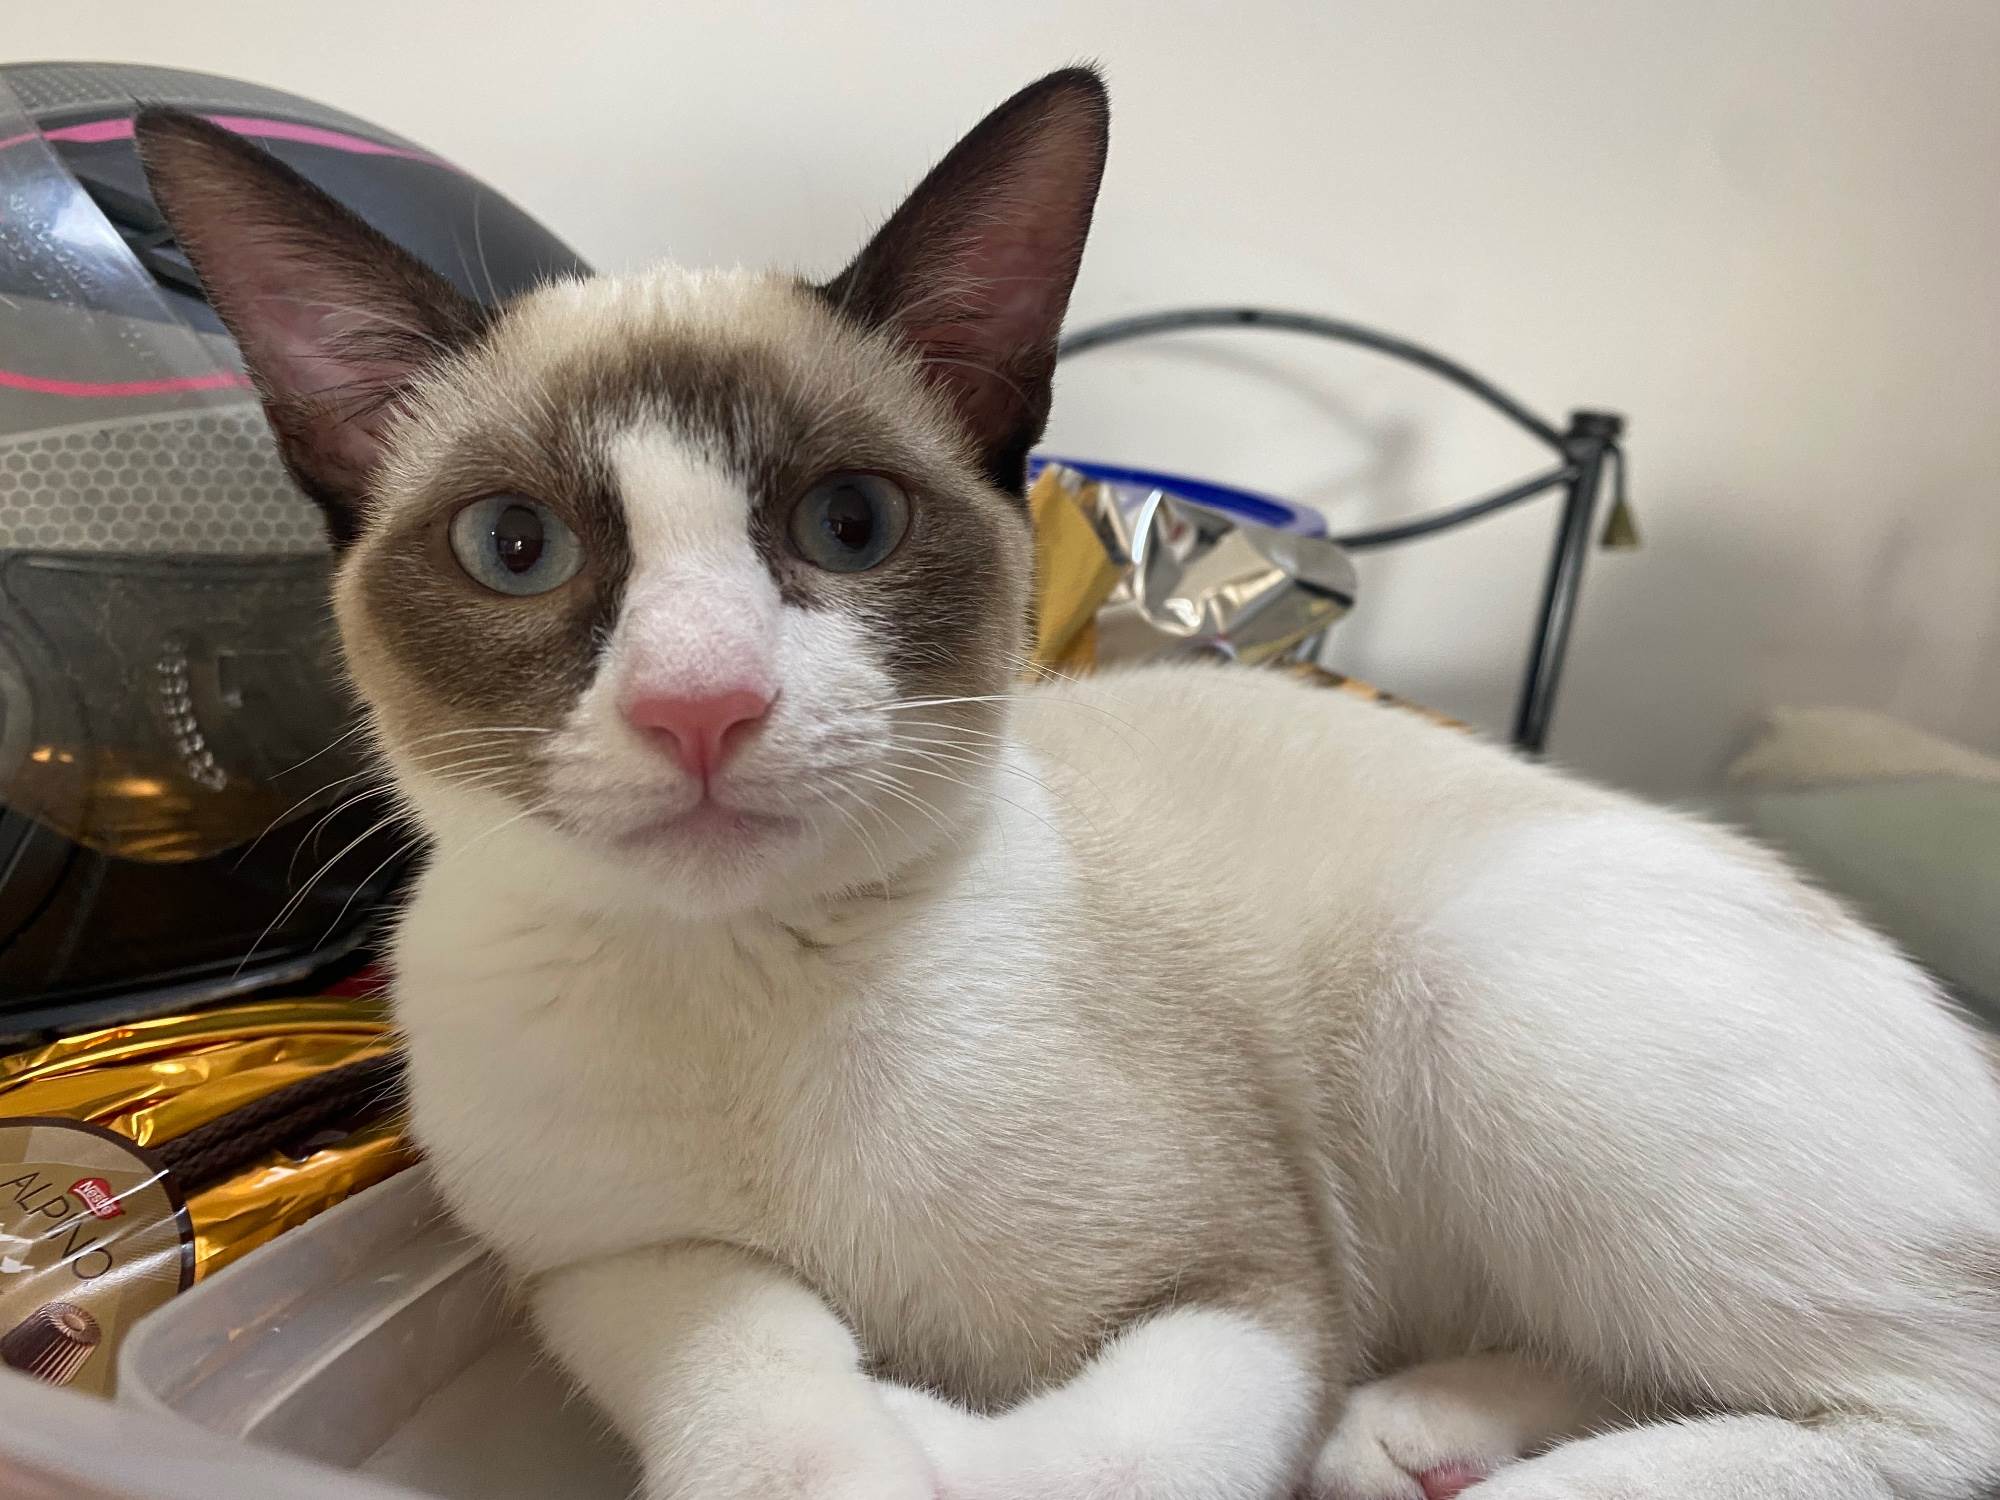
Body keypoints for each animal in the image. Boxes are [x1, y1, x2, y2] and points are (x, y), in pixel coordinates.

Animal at [137, 68, 2000, 1500]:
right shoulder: (596, 1265)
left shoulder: (1250, 1295)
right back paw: (1422, 1433)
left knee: (1927, 1412)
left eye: (849, 525)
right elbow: (751, 1349)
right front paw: (841, 1438)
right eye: (515, 549)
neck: (754, 991)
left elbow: (1083, 1458)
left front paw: (920, 1441)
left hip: (1487, 998)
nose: (702, 706)